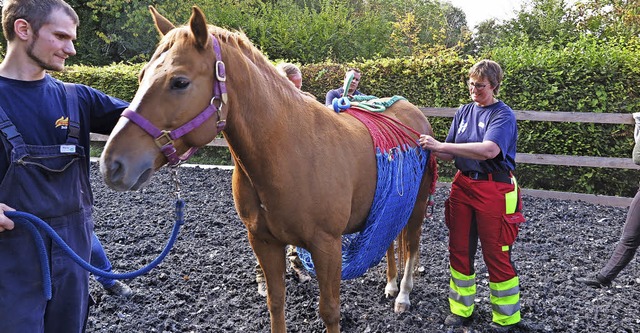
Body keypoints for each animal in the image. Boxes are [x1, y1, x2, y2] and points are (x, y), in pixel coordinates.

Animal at [100, 5, 438, 332]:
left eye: (179, 82)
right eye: (142, 75)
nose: (112, 164)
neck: (289, 153)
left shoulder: (327, 246)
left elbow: (330, 311)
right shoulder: (264, 242)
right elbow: (276, 302)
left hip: (417, 203)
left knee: (411, 243)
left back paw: (403, 294)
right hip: (391, 201)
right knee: (391, 237)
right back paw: (391, 284)